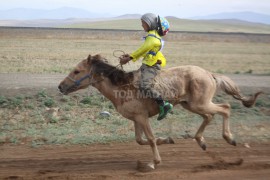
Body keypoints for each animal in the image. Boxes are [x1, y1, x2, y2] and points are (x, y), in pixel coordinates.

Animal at [58, 54, 262, 169]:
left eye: (77, 71)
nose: (60, 86)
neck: (121, 86)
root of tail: (209, 74)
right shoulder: (136, 119)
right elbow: (140, 140)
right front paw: (167, 140)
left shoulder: (142, 117)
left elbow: (149, 139)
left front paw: (153, 163)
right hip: (191, 105)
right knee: (210, 116)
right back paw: (201, 141)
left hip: (200, 104)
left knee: (225, 108)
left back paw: (229, 138)